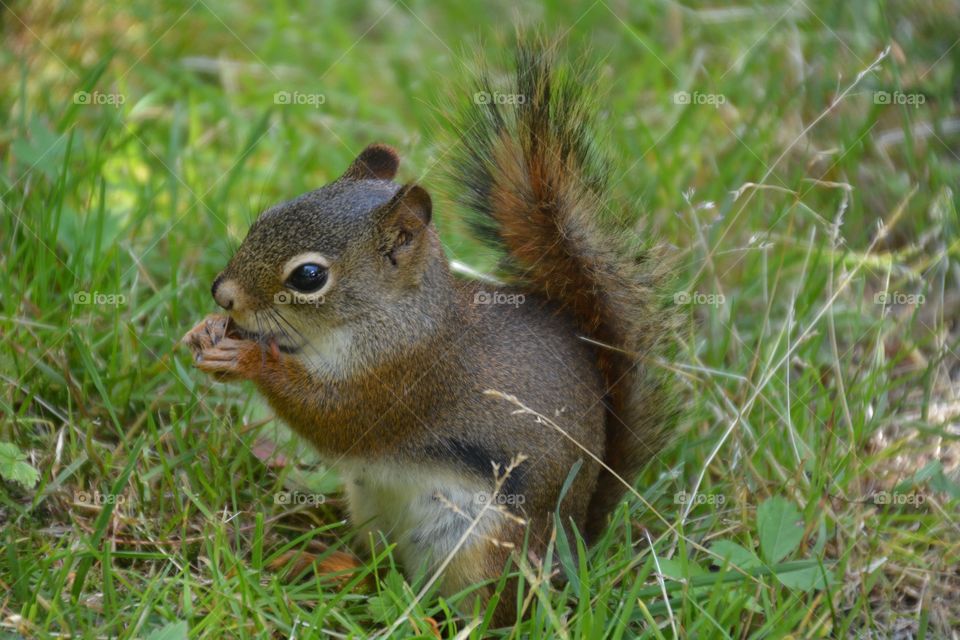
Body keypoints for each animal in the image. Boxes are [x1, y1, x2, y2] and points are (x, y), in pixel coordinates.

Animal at [182, 39, 675, 626]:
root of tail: (571, 548)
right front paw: (207, 334)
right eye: (266, 216)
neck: (385, 318)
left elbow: (332, 419)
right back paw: (324, 565)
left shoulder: (406, 380)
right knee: (379, 569)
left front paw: (250, 361)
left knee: (481, 611)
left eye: (309, 277)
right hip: (371, 506)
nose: (222, 293)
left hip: (482, 547)